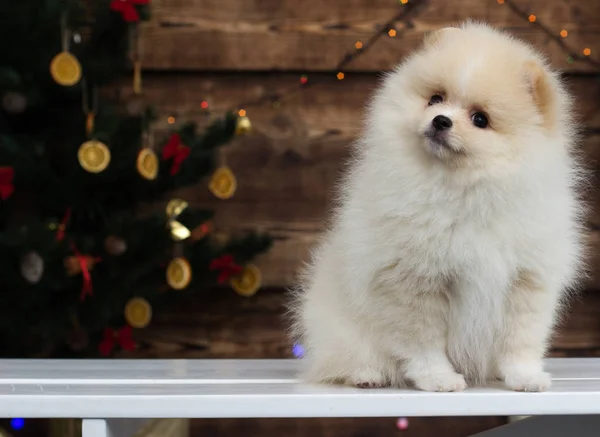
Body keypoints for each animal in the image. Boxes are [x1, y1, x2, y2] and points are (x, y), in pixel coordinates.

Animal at [290, 22, 584, 392]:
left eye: (480, 119)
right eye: (435, 99)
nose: (441, 120)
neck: (464, 190)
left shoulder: (527, 280)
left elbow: (520, 340)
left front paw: (525, 377)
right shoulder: (413, 278)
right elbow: (424, 343)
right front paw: (439, 378)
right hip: (342, 327)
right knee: (346, 356)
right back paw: (367, 375)